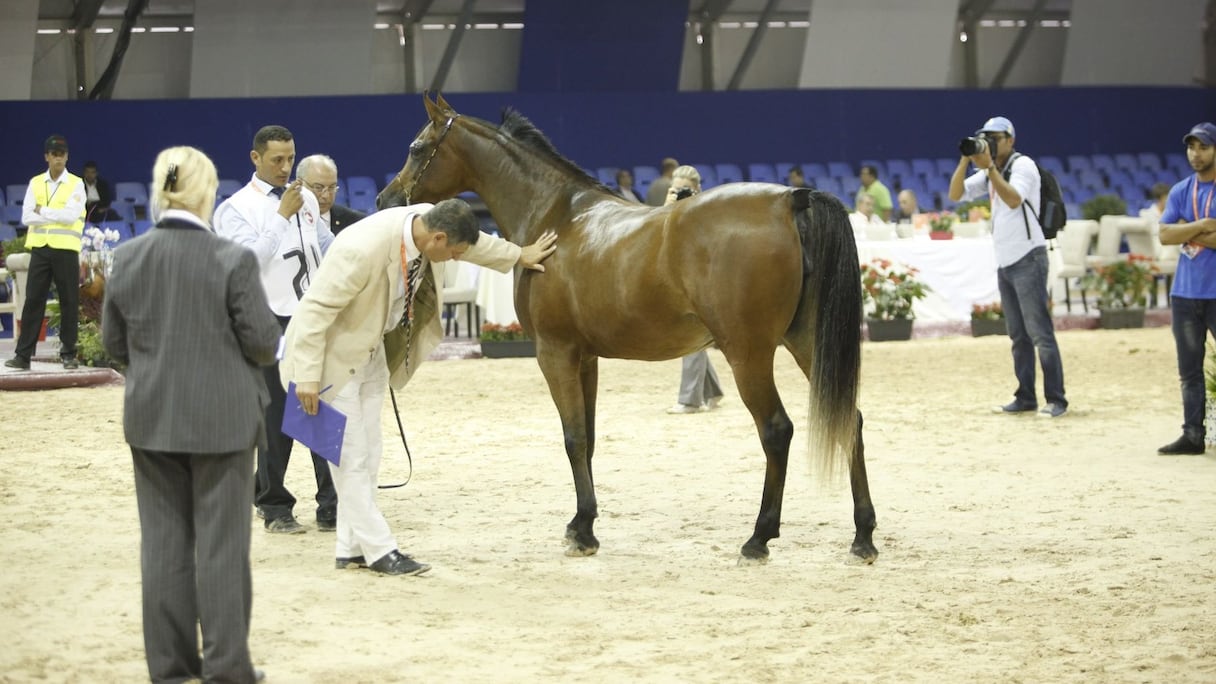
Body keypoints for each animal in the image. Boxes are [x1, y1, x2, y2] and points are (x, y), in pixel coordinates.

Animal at [376, 96, 875, 564]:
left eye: (417, 148)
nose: (385, 201)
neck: (557, 217)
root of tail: (790, 199)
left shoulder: (554, 353)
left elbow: (573, 438)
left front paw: (583, 534)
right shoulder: (586, 357)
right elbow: (589, 438)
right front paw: (582, 523)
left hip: (748, 353)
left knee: (776, 430)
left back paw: (759, 538)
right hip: (807, 344)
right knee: (849, 419)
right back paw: (863, 536)